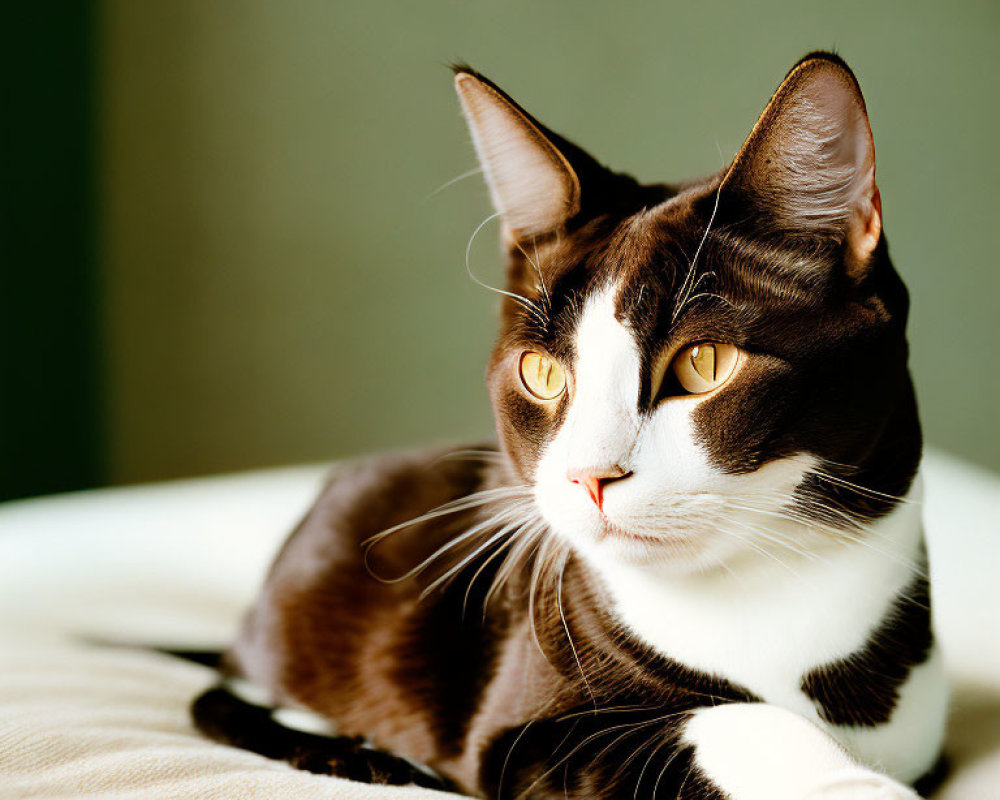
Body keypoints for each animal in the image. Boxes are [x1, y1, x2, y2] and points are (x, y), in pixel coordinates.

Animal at [188, 51, 944, 800]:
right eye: (542, 373)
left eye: (704, 364)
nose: (590, 475)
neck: (767, 596)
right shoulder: (523, 733)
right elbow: (727, 721)